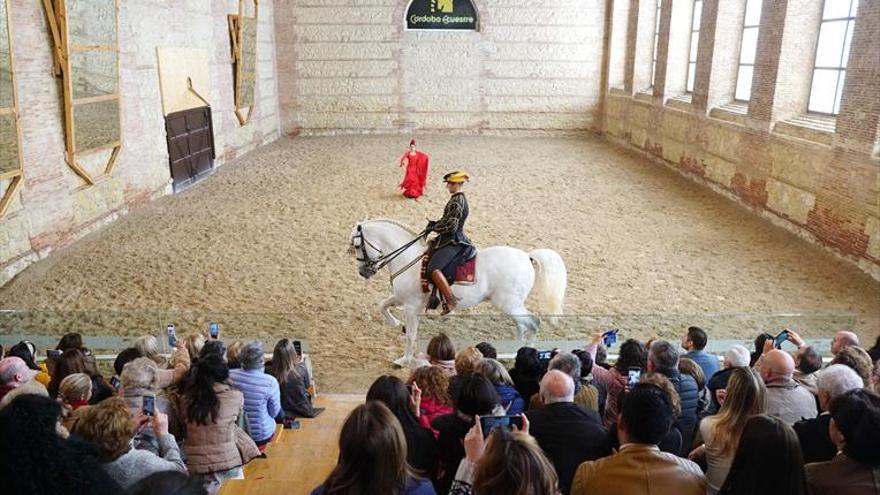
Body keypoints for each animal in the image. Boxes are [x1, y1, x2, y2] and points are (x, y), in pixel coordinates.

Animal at [348, 219, 568, 366]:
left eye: (357, 245)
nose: (363, 272)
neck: (408, 258)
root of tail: (527, 257)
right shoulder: (402, 298)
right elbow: (383, 305)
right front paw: (395, 323)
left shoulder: (411, 306)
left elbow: (411, 335)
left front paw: (404, 359)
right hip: (511, 304)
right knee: (522, 324)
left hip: (509, 303)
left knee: (533, 322)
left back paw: (523, 353)